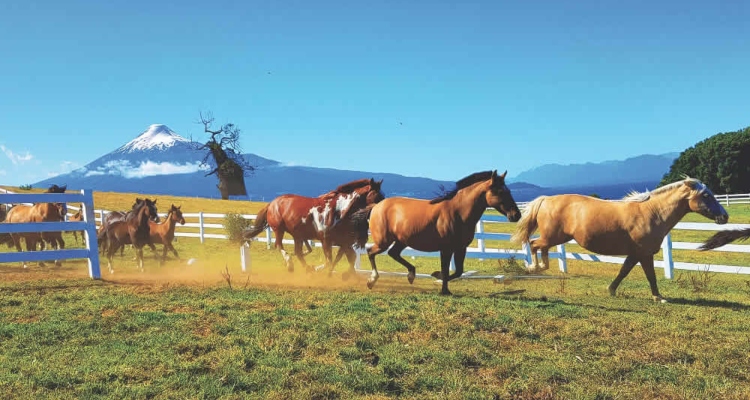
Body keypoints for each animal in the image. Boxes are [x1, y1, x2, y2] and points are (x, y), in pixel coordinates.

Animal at [245, 177, 388, 274]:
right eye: (377, 196)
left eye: (383, 195)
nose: (384, 209)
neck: (339, 211)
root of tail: (272, 203)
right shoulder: (326, 241)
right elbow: (329, 261)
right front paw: (320, 270)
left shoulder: (343, 242)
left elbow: (349, 258)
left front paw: (346, 275)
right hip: (279, 229)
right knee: (279, 245)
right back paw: (290, 264)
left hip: (297, 235)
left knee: (298, 252)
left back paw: (307, 268)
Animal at [354, 170, 524, 296]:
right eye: (500, 191)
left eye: (508, 190)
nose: (516, 215)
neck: (458, 212)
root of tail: (376, 206)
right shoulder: (446, 249)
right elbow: (446, 269)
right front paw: (443, 288)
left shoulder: (460, 248)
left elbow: (458, 271)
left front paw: (438, 278)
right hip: (384, 240)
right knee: (371, 252)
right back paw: (372, 280)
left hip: (401, 240)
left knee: (393, 253)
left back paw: (411, 275)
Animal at [512, 177, 728, 302]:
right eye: (706, 195)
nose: (724, 217)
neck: (652, 213)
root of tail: (546, 200)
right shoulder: (644, 254)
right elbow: (650, 275)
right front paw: (658, 297)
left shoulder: (635, 254)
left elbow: (623, 271)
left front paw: (611, 290)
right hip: (553, 237)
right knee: (534, 244)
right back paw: (534, 267)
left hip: (554, 238)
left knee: (538, 247)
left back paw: (538, 267)